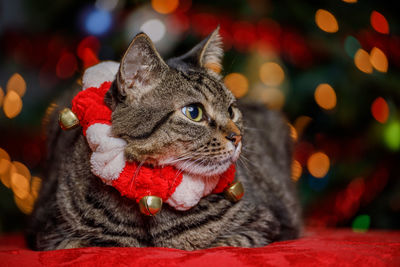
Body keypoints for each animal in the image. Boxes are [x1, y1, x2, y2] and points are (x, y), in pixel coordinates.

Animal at [26, 27, 302, 251]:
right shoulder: (49, 233)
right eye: (193, 112)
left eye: (231, 110)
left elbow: (227, 242)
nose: (238, 136)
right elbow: (85, 244)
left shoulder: (270, 225)